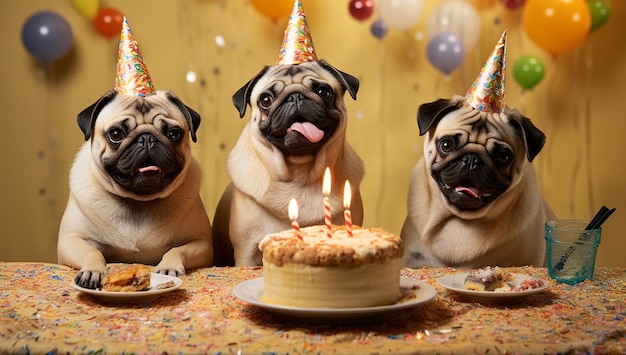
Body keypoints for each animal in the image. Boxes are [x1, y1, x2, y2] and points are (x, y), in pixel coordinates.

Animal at [58, 91, 214, 290]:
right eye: (116, 134)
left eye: (173, 134)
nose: (147, 139)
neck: (138, 202)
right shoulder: (72, 239)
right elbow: (92, 252)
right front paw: (93, 270)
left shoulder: (201, 243)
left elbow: (177, 250)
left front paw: (168, 267)